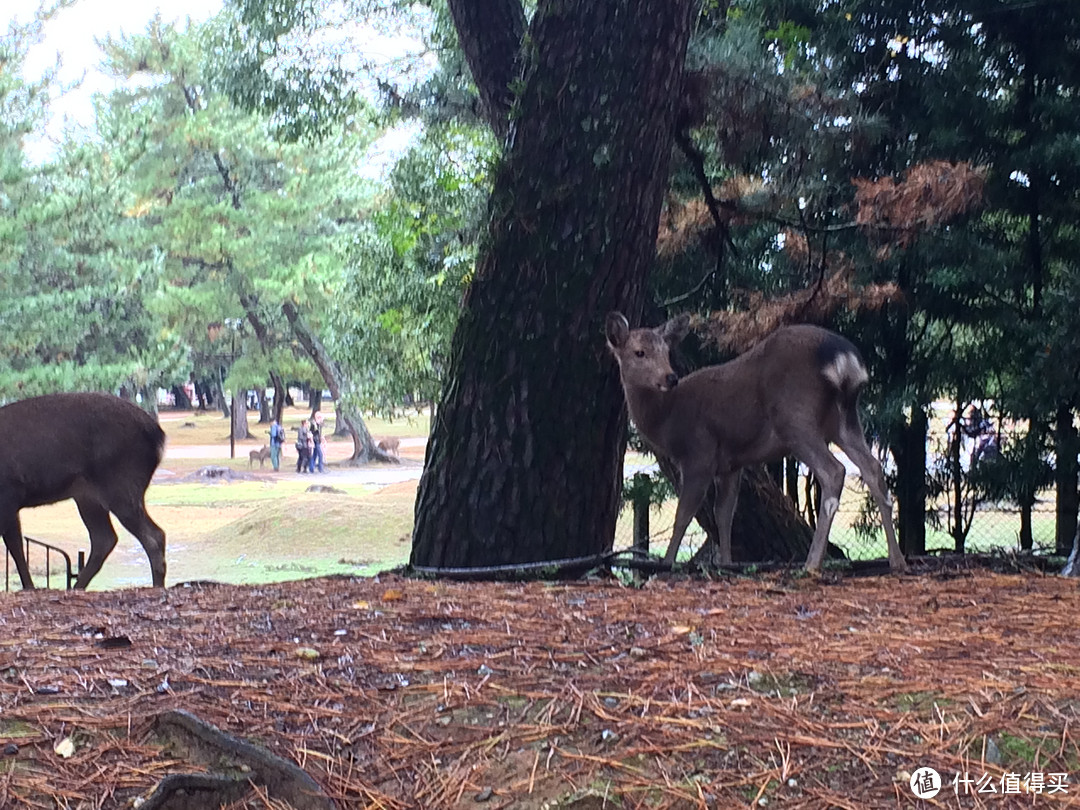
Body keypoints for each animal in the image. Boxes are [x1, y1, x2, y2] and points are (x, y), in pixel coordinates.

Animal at [0, 390, 166, 591]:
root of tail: (159, 435)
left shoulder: (9, 492)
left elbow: (13, 544)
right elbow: (15, 544)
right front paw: (29, 587)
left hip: (122, 483)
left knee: (153, 535)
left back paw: (157, 586)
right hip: (88, 497)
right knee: (105, 538)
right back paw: (77, 587)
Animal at [604, 313, 907, 578]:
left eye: (667, 353)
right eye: (639, 352)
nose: (670, 377)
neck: (667, 421)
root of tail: (844, 359)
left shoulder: (699, 453)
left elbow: (684, 514)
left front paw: (666, 565)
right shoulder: (730, 464)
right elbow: (724, 515)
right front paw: (726, 564)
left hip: (795, 416)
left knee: (834, 471)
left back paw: (811, 564)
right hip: (844, 417)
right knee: (873, 468)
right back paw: (897, 560)